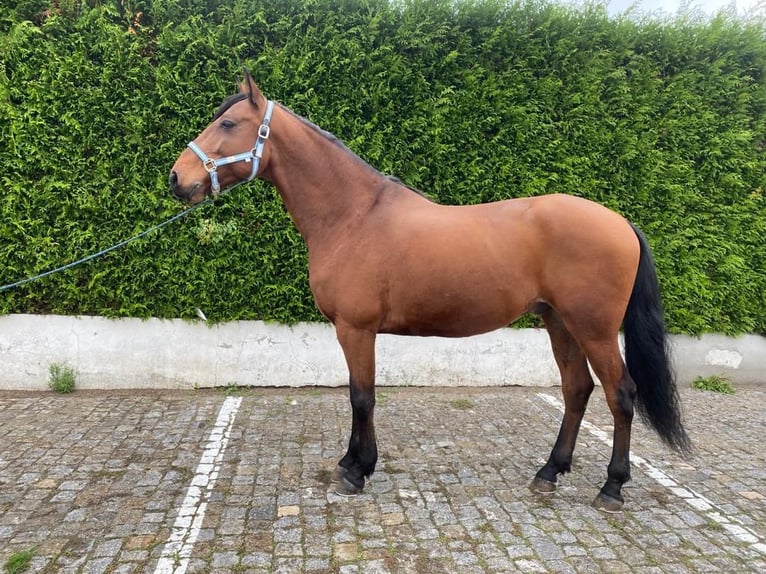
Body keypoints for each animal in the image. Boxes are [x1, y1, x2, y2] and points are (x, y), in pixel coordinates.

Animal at [171, 70, 692, 510]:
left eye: (229, 123)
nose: (178, 179)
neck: (354, 215)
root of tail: (621, 223)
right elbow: (359, 394)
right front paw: (351, 462)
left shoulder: (356, 329)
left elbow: (362, 396)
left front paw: (357, 471)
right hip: (558, 321)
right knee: (576, 389)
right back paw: (550, 472)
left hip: (594, 329)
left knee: (620, 394)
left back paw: (612, 487)